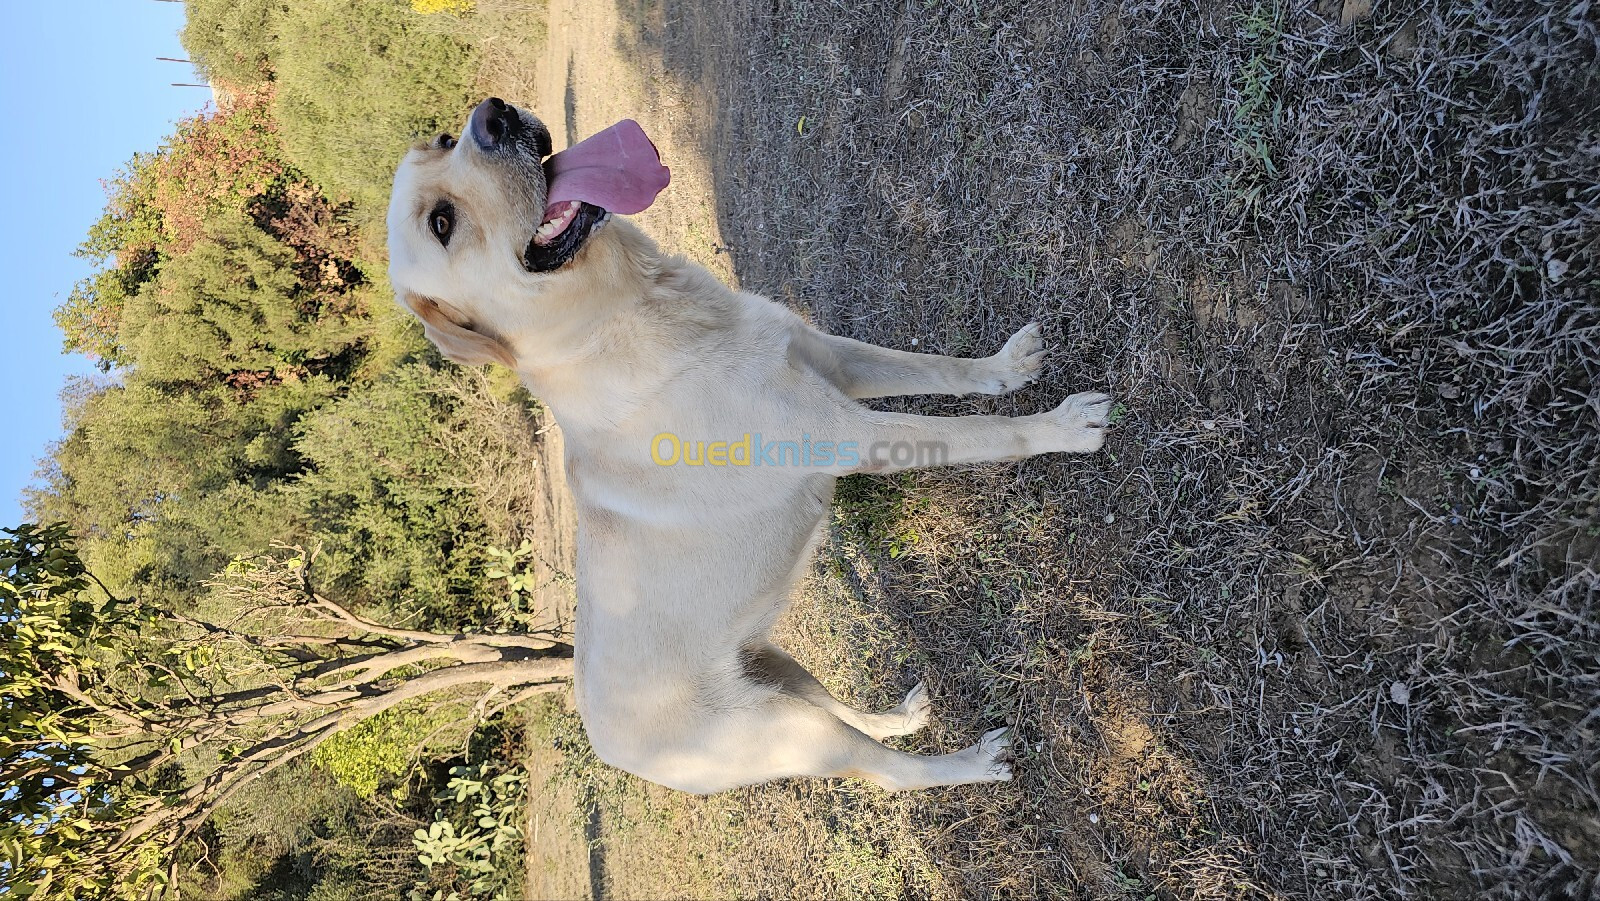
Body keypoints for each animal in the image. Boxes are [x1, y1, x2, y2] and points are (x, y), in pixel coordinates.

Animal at [387, 95, 1113, 793]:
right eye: (442, 223)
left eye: (444, 141)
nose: (492, 116)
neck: (629, 314)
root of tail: (612, 751)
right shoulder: (846, 433)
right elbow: (983, 432)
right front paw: (1063, 427)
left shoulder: (829, 359)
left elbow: (938, 369)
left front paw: (1007, 367)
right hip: (787, 728)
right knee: (886, 773)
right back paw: (970, 763)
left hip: (777, 669)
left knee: (846, 713)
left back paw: (900, 718)